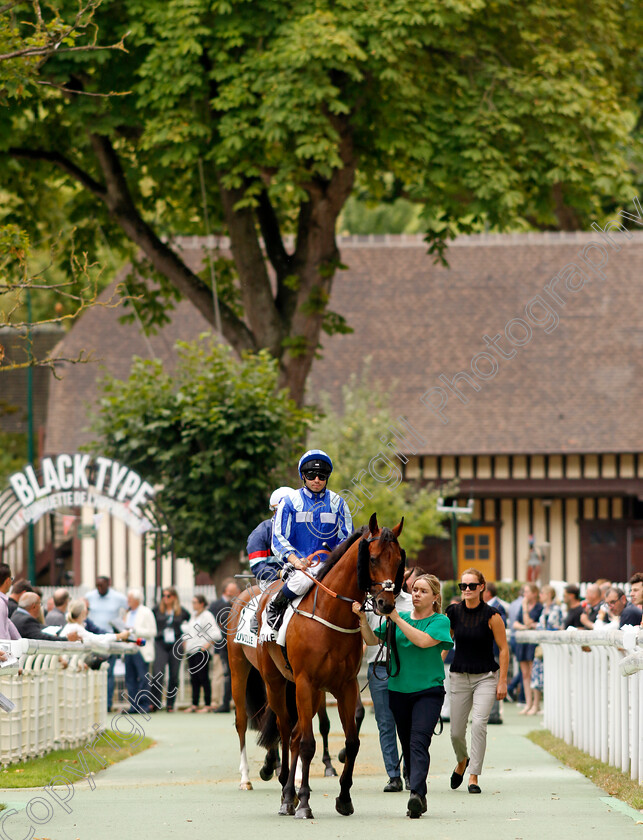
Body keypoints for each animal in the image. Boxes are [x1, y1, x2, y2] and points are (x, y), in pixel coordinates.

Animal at [255, 512, 402, 820]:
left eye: (397, 561)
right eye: (372, 559)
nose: (385, 603)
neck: (331, 614)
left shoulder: (345, 686)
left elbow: (352, 741)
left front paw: (344, 798)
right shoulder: (306, 682)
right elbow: (308, 744)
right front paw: (305, 803)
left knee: (295, 736)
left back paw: (291, 793)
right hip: (277, 684)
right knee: (286, 732)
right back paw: (286, 795)